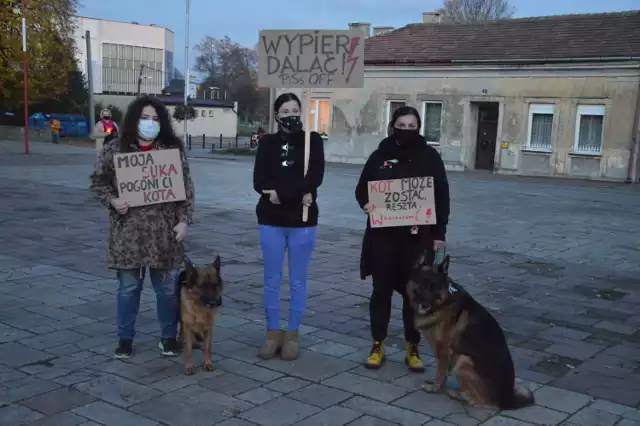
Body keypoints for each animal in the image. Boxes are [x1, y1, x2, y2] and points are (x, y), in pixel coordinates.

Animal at [408, 253, 532, 410]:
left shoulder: (443, 349)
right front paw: (436, 383)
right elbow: (442, 371)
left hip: (463, 361)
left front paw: (435, 388)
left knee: (484, 403)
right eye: (423, 285)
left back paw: (458, 394)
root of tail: (508, 400)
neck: (443, 302)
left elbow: (440, 371)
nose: (425, 305)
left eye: (435, 288)